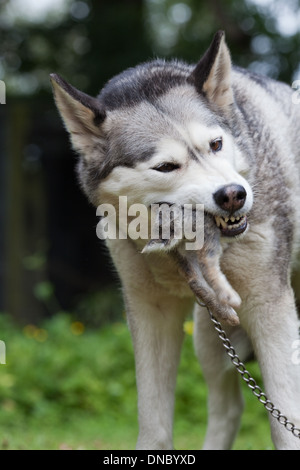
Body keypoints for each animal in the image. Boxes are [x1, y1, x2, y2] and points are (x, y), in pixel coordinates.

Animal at [50, 31, 300, 450]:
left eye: (216, 144)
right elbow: (153, 427)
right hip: (211, 337)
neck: (181, 257)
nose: (233, 195)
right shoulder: (152, 312)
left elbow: (285, 424)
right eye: (166, 166)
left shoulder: (270, 308)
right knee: (228, 409)